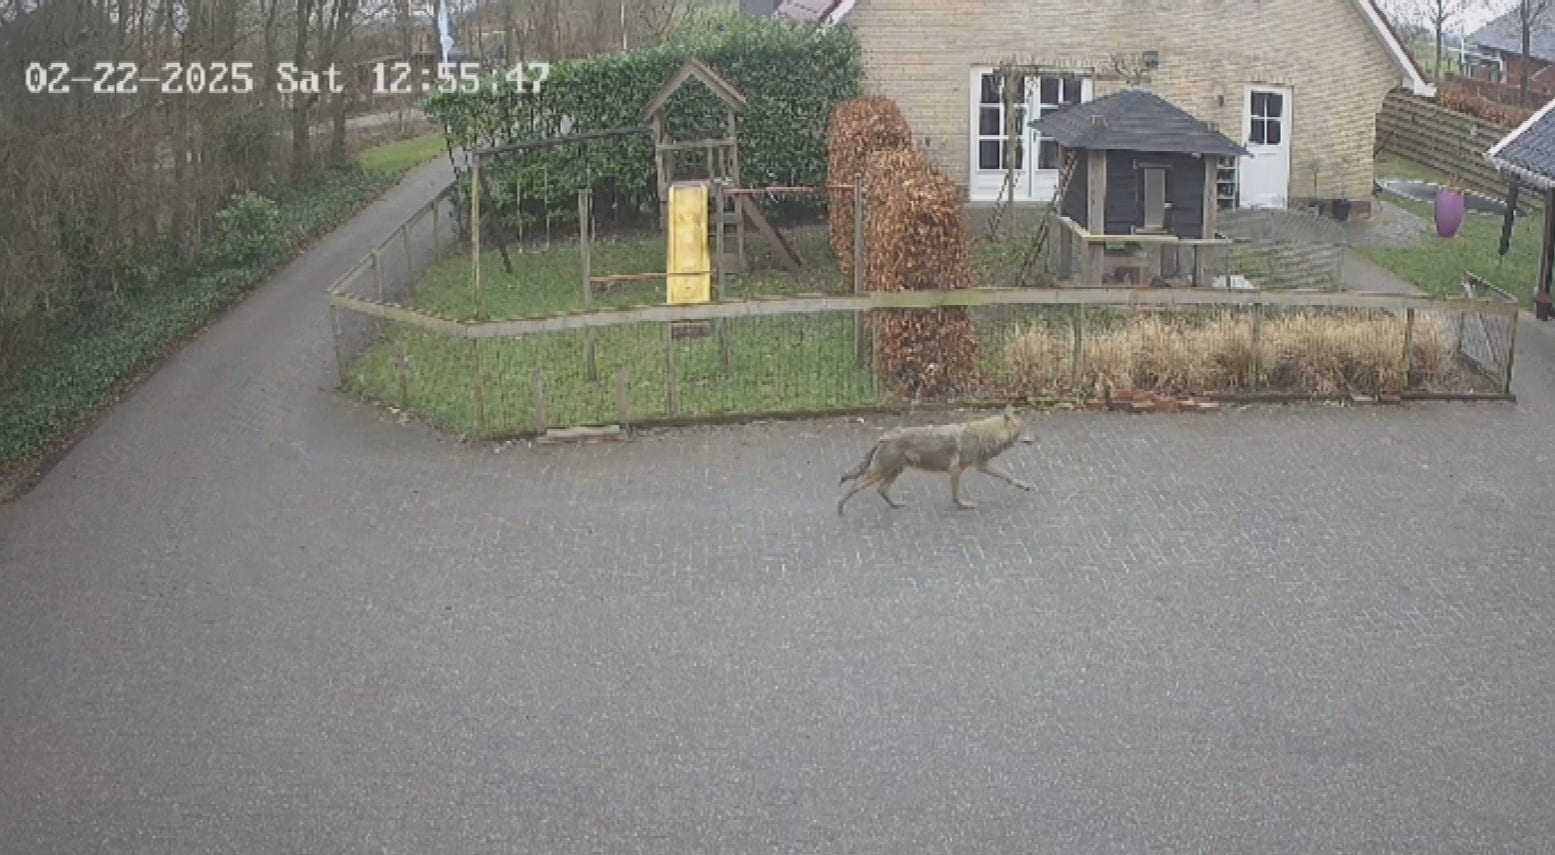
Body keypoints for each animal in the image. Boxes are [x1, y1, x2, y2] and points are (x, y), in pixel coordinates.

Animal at [836, 404, 1032, 515]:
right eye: (1022, 430)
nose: (1034, 439)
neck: (984, 434)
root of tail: (883, 436)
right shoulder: (956, 470)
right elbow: (956, 495)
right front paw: (963, 506)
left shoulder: (982, 466)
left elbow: (1008, 476)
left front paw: (1024, 485)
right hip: (879, 473)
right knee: (854, 486)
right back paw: (840, 509)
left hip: (894, 471)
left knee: (881, 490)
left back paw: (895, 506)